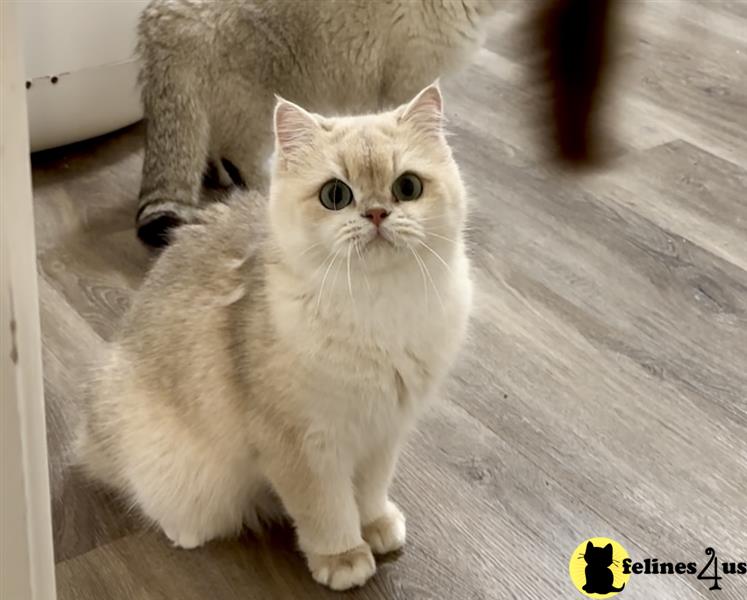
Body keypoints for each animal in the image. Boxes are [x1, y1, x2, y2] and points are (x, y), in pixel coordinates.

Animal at [77, 84, 474, 592]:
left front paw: (375, 525)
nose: (377, 213)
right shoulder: (301, 444)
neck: (377, 305)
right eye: (335, 195)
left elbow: (368, 492)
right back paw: (185, 530)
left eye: (408, 187)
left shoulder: (382, 432)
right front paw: (343, 558)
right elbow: (326, 509)